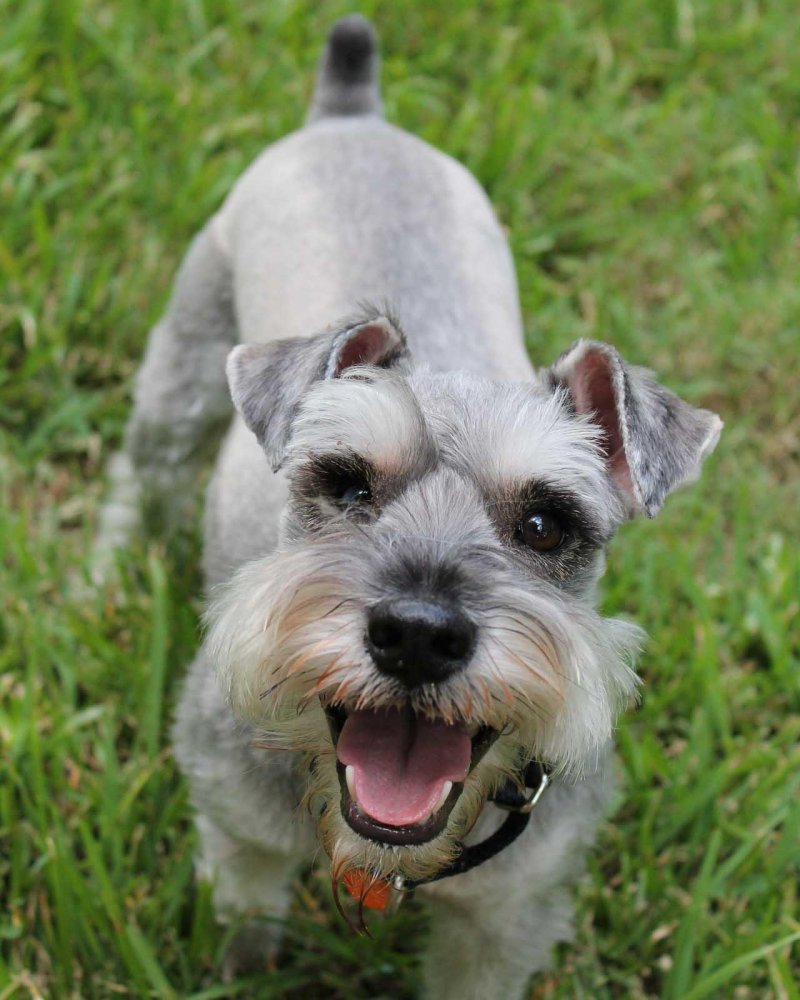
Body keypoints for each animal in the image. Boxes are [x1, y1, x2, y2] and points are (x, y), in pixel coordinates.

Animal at [97, 17, 720, 1000]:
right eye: (347, 483)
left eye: (546, 522)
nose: (419, 635)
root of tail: (354, 115)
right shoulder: (237, 834)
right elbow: (245, 924)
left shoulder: (505, 917)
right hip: (187, 364)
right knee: (143, 470)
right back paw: (99, 578)